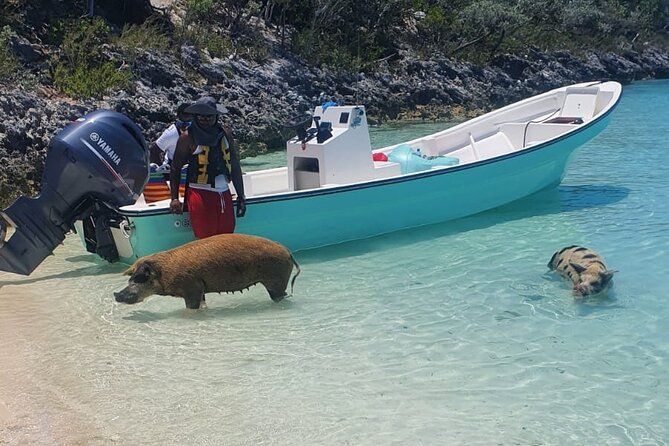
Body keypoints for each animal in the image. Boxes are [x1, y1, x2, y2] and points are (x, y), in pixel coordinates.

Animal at [114, 234, 301, 309]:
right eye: (130, 279)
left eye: (140, 278)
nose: (116, 294)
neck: (164, 272)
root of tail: (289, 252)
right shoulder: (200, 289)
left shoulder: (191, 288)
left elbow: (192, 307)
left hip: (277, 279)